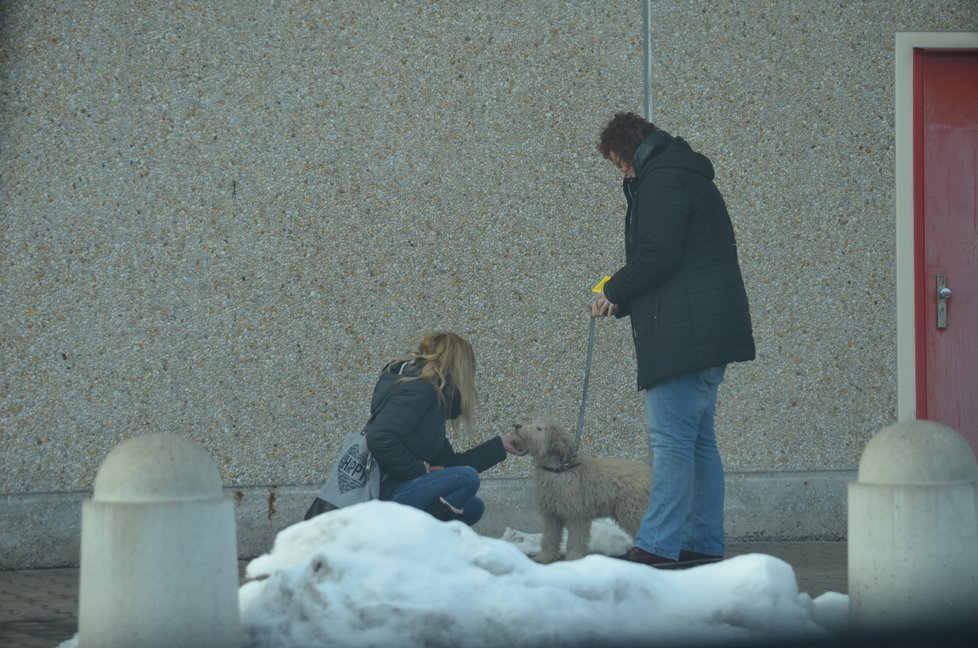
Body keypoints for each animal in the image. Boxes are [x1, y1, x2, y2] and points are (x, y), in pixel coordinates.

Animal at [508, 416, 652, 560]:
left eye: (539, 428)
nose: (517, 426)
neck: (558, 470)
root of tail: (649, 473)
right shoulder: (551, 516)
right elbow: (549, 538)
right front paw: (545, 558)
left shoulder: (577, 516)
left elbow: (576, 539)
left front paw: (573, 559)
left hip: (633, 512)